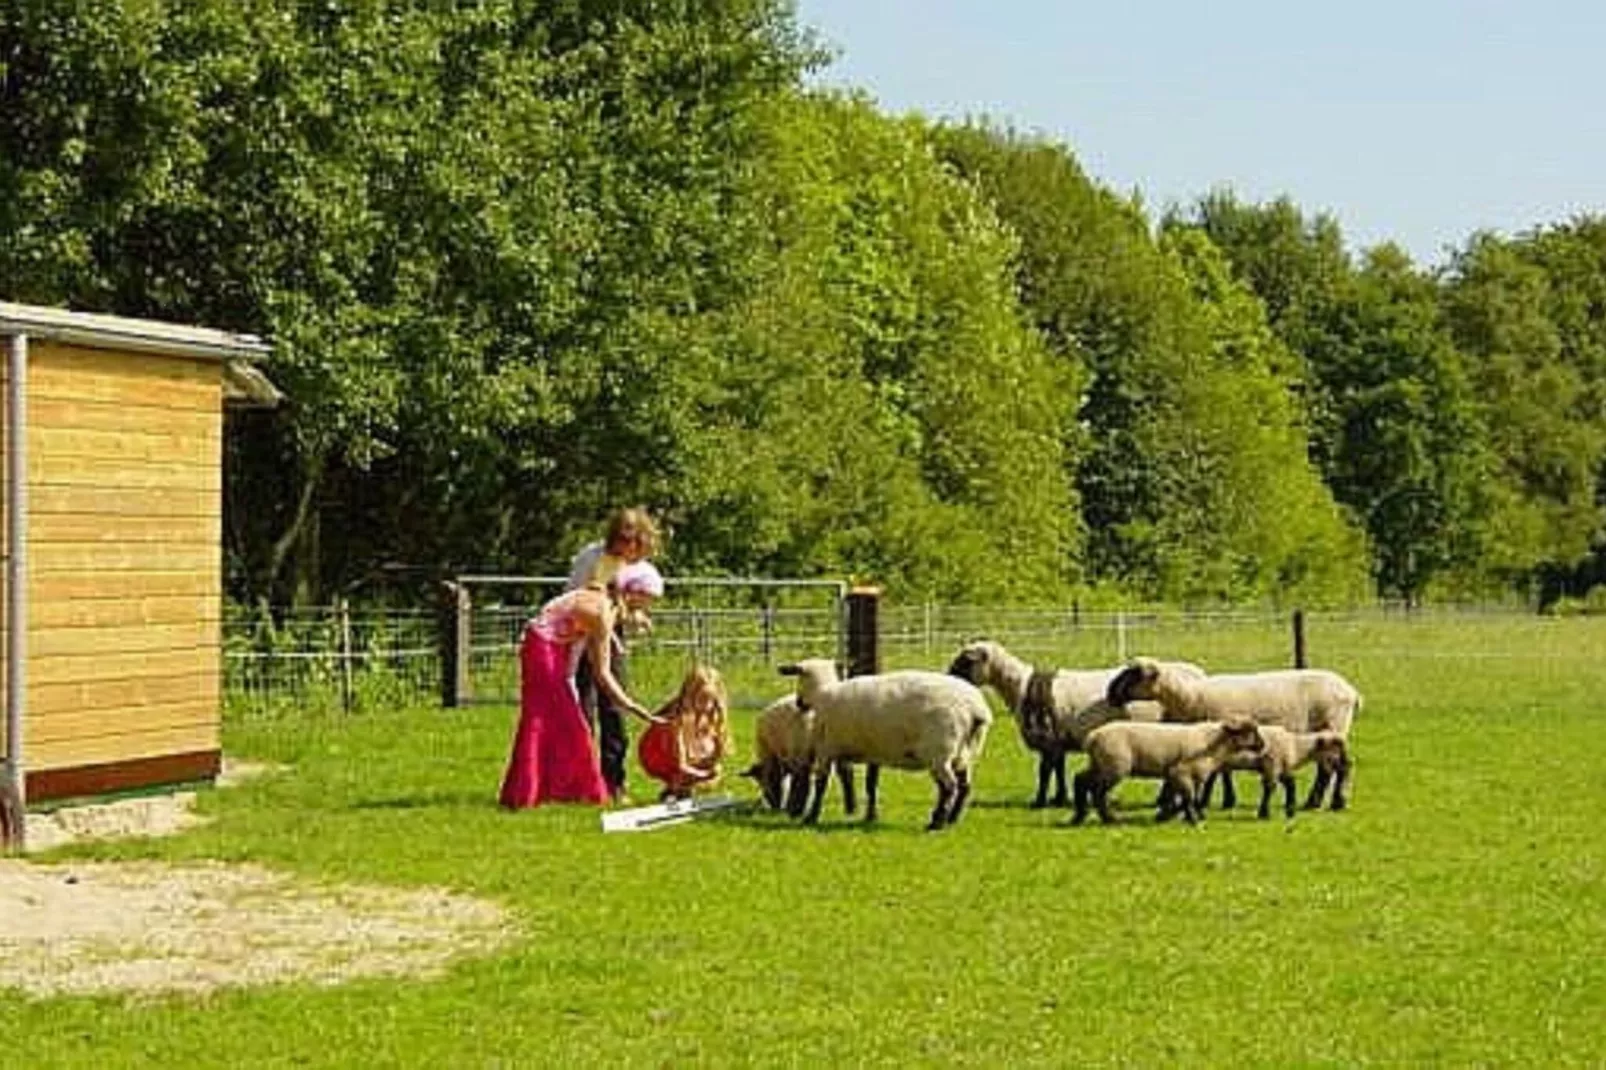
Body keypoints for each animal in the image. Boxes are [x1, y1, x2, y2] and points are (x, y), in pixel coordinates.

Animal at [780, 655, 989, 829]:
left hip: (939, 752)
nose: (799, 704)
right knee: (964, 786)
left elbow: (821, 785)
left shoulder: (826, 749)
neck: (822, 693)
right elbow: (871, 784)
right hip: (965, 753)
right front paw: (870, 816)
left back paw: (936, 823)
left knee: (948, 787)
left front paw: (811, 818)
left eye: (799, 677)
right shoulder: (874, 751)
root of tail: (975, 710)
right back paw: (953, 819)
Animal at [944, 636, 1201, 803]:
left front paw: (1040, 801)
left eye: (966, 660)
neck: (1021, 687)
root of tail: (1198, 674)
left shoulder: (1048, 738)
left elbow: (1045, 771)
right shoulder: (1057, 740)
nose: (947, 678)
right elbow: (1058, 769)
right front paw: (1059, 798)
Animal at [1072, 716, 1271, 822]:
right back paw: (1109, 819)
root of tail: (1093, 736)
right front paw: (1193, 819)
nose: (1263, 745)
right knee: (1097, 792)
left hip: (1099, 764)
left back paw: (1079, 816)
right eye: (1250, 731)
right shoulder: (1181, 772)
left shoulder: (1178, 775)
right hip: (1115, 766)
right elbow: (1189, 797)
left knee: (1080, 780)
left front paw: (1165, 815)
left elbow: (1179, 797)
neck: (1213, 743)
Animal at [1111, 649, 1361, 809]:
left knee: (1338, 766)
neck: (1190, 697)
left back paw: (1333, 802)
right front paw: (1225, 800)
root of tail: (1351, 691)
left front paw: (1213, 801)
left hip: (1334, 725)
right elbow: (1224, 770)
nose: (1111, 693)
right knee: (1329, 767)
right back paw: (1318, 802)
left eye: (1134, 673)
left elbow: (1220, 772)